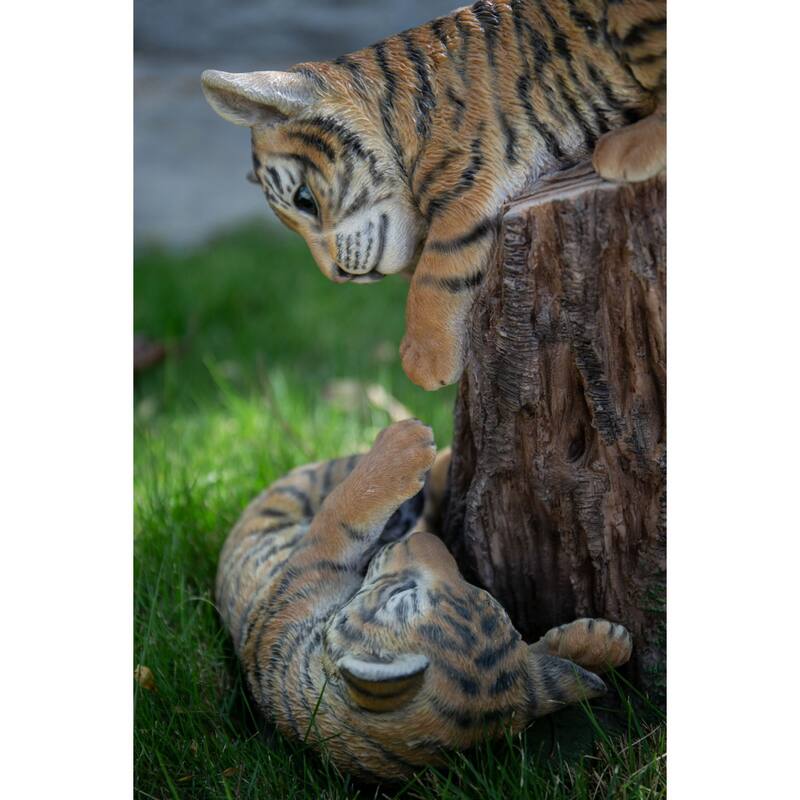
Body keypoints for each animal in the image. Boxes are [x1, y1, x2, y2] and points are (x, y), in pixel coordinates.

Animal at [201, 0, 666, 391]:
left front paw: (424, 361)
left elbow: (436, 272)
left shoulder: (468, 177)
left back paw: (626, 147)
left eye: (304, 200)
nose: (336, 275)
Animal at [217, 419, 632, 781]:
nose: (428, 539)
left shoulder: (308, 568)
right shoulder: (300, 581)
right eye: (402, 593)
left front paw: (601, 644)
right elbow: (340, 514)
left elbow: (337, 515)